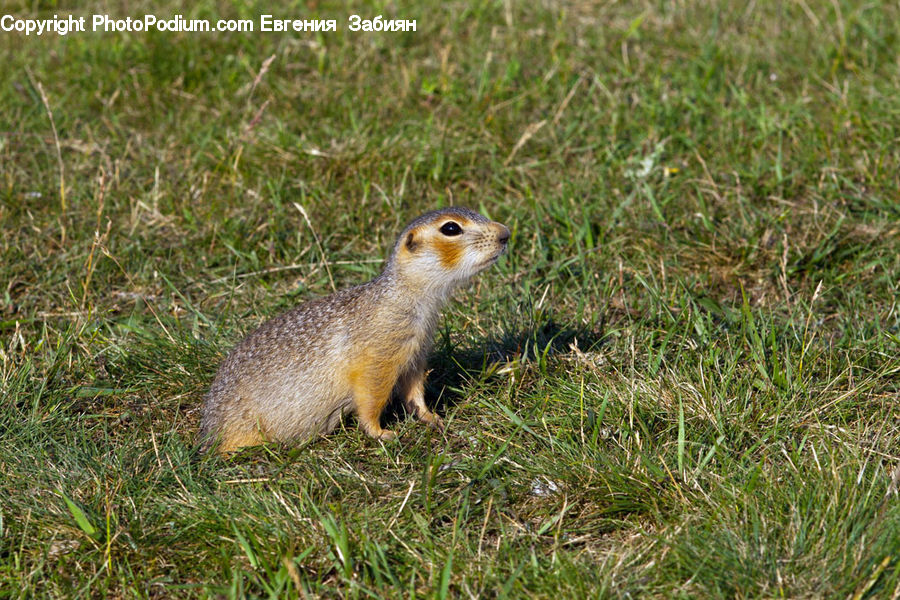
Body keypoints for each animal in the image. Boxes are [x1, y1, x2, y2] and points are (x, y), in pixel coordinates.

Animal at [200, 209, 510, 452]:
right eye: (451, 228)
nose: (506, 233)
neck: (408, 295)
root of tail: (207, 432)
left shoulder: (415, 349)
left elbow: (414, 388)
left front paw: (431, 417)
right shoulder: (378, 353)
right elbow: (371, 394)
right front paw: (381, 432)